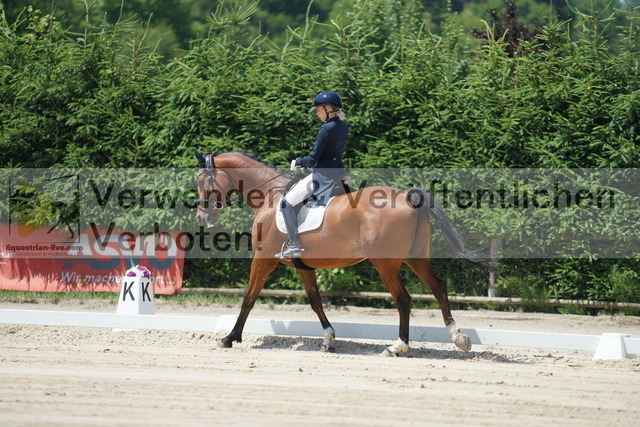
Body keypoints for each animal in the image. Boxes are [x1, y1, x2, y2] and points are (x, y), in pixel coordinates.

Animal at [195, 151, 494, 356]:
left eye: (200, 181)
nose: (202, 217)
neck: (269, 196)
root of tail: (407, 196)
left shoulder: (263, 259)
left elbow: (249, 298)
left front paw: (229, 338)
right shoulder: (303, 265)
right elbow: (315, 301)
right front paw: (328, 339)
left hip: (385, 263)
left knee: (403, 299)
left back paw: (398, 347)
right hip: (416, 257)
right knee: (438, 287)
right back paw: (458, 337)